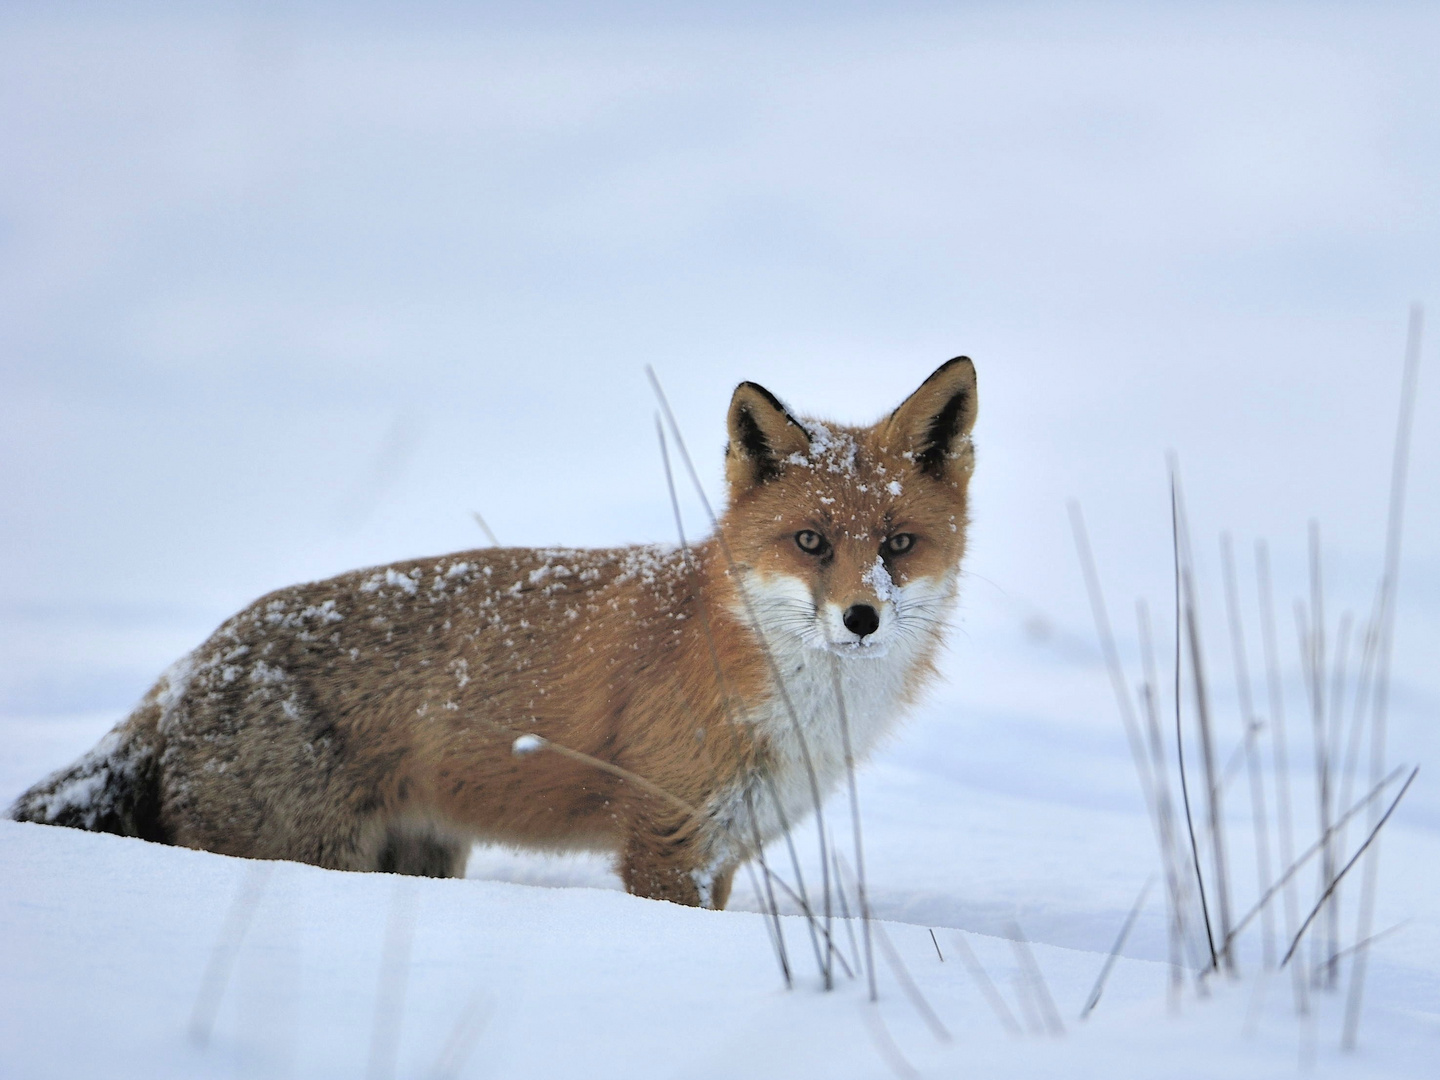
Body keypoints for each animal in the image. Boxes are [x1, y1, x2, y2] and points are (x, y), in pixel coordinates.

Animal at [8, 360, 979, 910]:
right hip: (313, 853)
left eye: (897, 546)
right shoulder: (667, 844)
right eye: (811, 542)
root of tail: (183, 670)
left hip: (420, 858)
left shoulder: (723, 847)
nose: (861, 618)